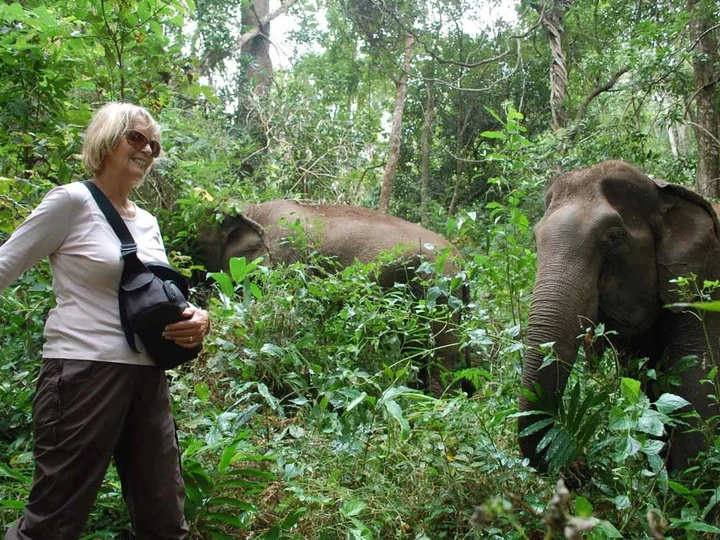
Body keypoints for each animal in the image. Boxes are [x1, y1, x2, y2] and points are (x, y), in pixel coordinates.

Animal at [197, 199, 471, 395]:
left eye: (196, 244)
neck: (253, 207)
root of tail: (463, 263)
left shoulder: (284, 259)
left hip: (437, 291)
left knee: (440, 353)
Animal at [519, 160, 720, 471]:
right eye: (536, 238)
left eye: (613, 237)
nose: (579, 464)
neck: (663, 193)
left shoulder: (703, 284)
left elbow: (698, 382)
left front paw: (685, 478)